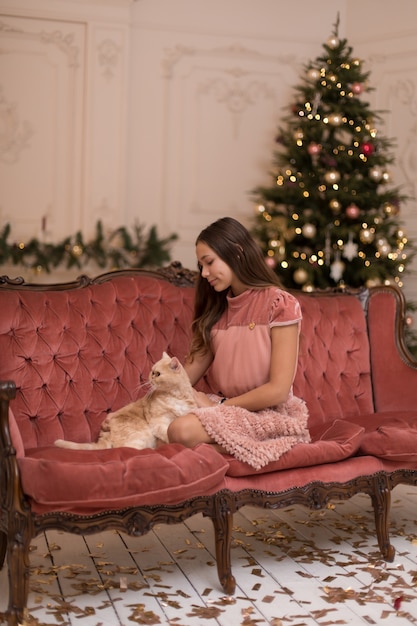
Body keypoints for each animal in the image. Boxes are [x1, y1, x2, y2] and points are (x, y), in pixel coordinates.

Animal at [54, 352, 196, 448]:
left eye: (158, 374)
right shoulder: (159, 422)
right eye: (152, 372)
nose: (151, 378)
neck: (175, 395)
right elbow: (166, 432)